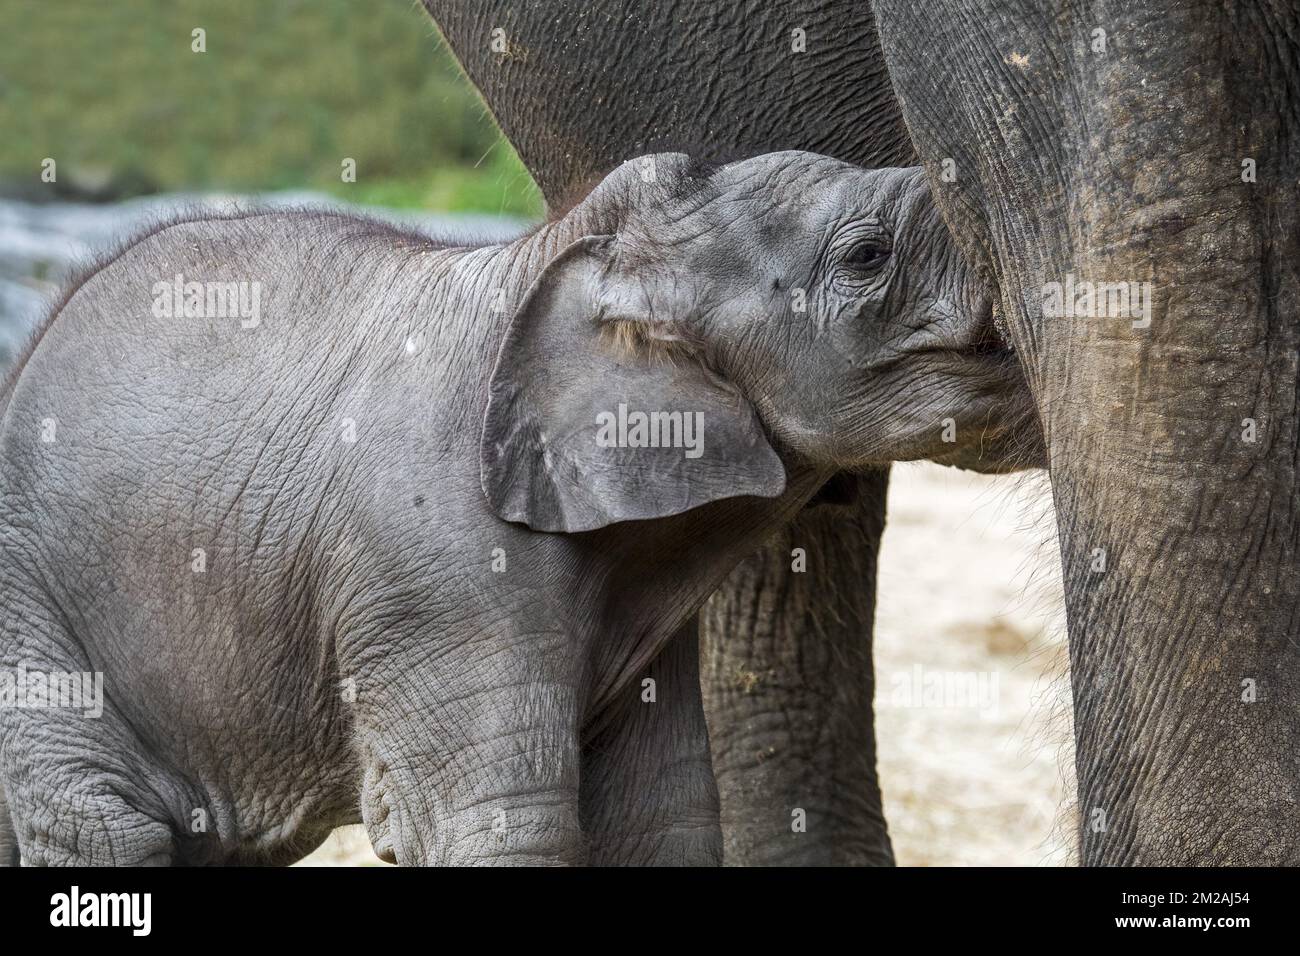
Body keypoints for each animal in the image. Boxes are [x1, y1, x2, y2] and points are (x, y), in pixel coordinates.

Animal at [0, 149, 1034, 868]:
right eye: (867, 255)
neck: (560, 256)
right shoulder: (439, 575)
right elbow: (507, 831)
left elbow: (662, 829)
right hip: (34, 618)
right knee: (106, 832)